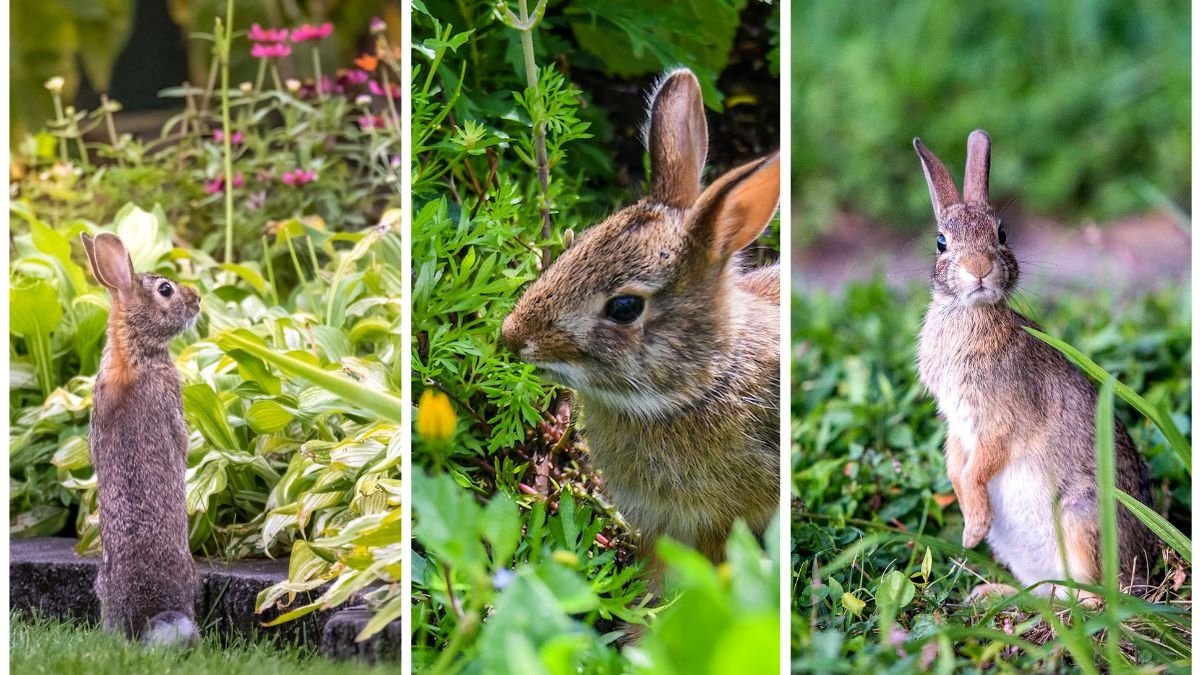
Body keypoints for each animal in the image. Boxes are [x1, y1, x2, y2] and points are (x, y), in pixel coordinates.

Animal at [81, 232, 201, 646]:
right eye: (165, 290)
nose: (197, 299)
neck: (132, 351)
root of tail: (144, 617)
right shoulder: (172, 403)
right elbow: (181, 440)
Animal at [913, 131, 1158, 601]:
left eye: (1002, 234)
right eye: (940, 242)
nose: (979, 269)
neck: (971, 314)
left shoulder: (1001, 418)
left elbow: (982, 465)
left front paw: (972, 528)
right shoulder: (957, 422)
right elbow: (956, 463)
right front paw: (970, 526)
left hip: (1080, 515)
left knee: (1092, 599)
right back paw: (994, 594)